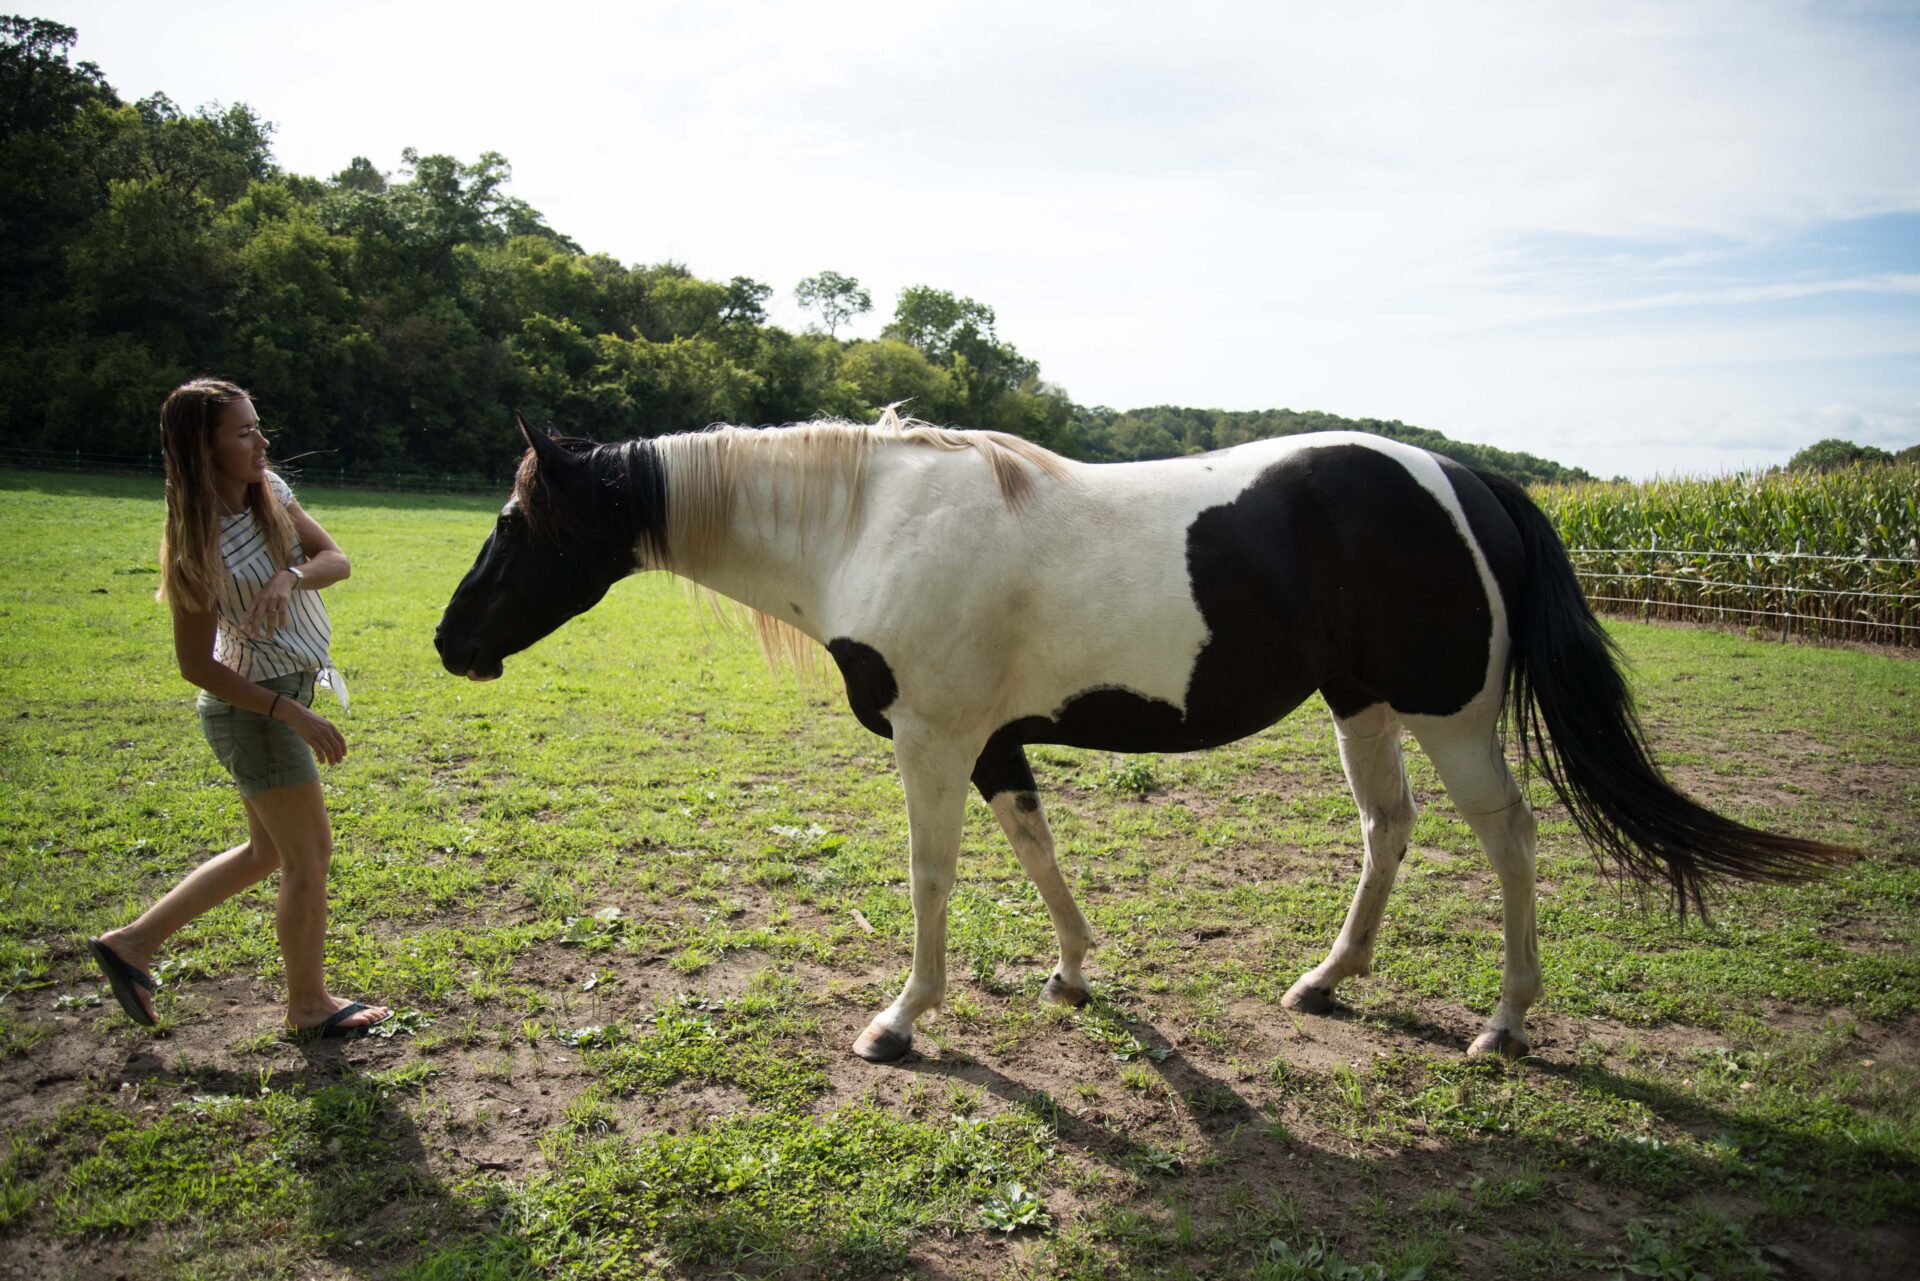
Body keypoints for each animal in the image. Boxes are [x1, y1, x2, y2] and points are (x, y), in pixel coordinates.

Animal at [432, 410, 1843, 1060]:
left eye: (516, 529)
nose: (450, 644)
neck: (867, 523)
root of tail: (1461, 475)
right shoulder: (992, 742)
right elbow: (1035, 850)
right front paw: (1071, 972)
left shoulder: (932, 741)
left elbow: (933, 879)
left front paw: (902, 1019)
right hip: (1364, 710)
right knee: (1388, 830)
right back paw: (1329, 982)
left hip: (1450, 717)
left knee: (1506, 838)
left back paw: (1503, 1023)